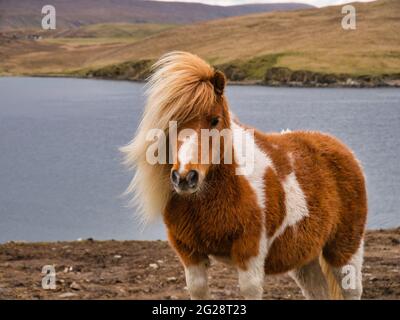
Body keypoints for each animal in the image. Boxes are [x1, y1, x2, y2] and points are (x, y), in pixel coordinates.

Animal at [120, 51, 368, 298]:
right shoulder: (190, 254)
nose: (184, 178)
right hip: (305, 259)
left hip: (344, 252)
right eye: (171, 122)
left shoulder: (250, 255)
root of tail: (342, 149)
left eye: (215, 120)